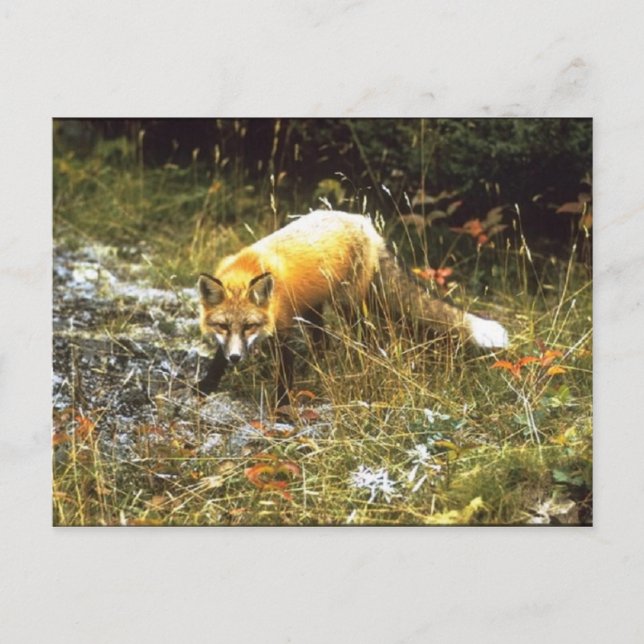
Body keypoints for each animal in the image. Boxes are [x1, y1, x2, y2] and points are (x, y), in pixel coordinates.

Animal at [197, 210, 508, 405]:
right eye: (222, 326)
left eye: (250, 326)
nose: (237, 358)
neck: (248, 268)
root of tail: (365, 224)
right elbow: (217, 360)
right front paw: (205, 387)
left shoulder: (284, 329)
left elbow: (284, 376)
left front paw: (282, 407)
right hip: (315, 308)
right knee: (323, 342)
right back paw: (319, 364)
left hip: (348, 306)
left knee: (365, 337)